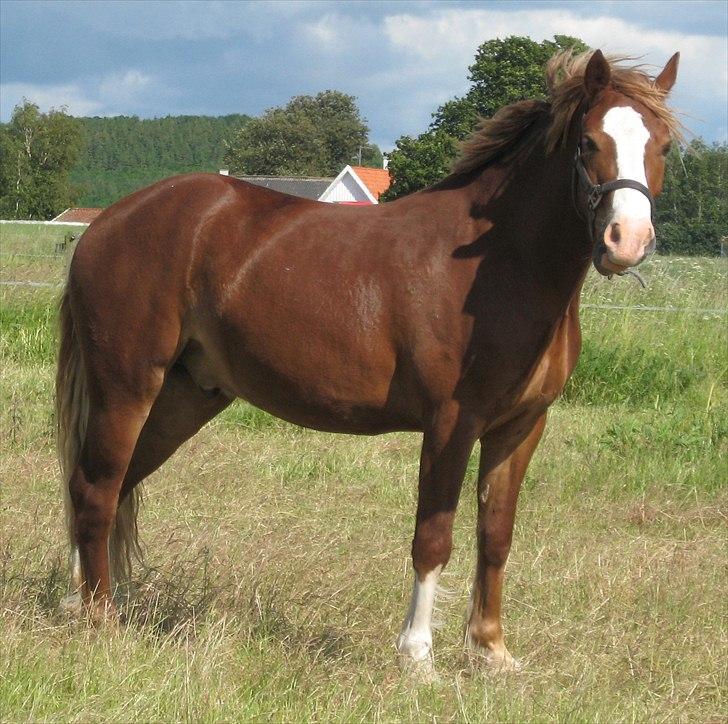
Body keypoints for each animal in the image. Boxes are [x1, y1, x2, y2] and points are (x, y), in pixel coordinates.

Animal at [58, 52, 684, 672]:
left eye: (662, 146)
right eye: (588, 142)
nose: (626, 241)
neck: (502, 268)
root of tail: (106, 224)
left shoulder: (521, 426)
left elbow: (496, 534)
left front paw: (491, 650)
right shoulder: (452, 423)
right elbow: (433, 538)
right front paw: (418, 656)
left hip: (186, 396)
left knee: (111, 487)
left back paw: (83, 598)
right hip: (127, 387)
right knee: (96, 488)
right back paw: (98, 620)